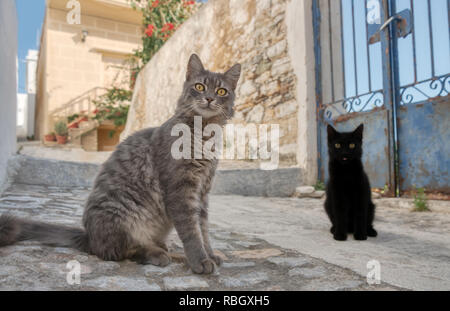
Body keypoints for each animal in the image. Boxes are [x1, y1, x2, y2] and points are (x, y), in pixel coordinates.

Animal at [0, 54, 241, 276]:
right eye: (199, 87)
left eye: (221, 91)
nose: (209, 98)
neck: (204, 134)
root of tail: (89, 236)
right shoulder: (181, 189)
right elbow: (191, 231)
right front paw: (199, 261)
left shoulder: (203, 190)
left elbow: (203, 229)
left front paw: (210, 254)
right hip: (121, 213)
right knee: (121, 251)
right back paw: (157, 253)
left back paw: (163, 246)